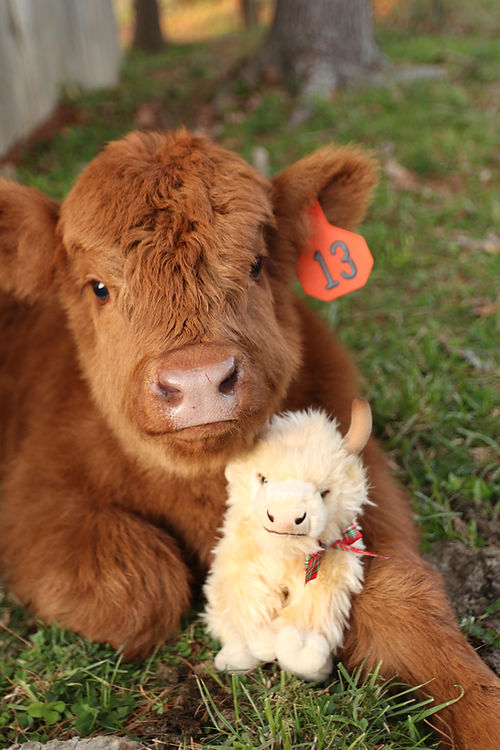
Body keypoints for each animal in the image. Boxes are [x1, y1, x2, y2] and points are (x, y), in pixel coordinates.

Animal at [0, 129, 498, 749]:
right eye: (99, 288)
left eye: (257, 264)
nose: (198, 380)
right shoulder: (33, 503)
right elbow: (141, 591)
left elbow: (405, 598)